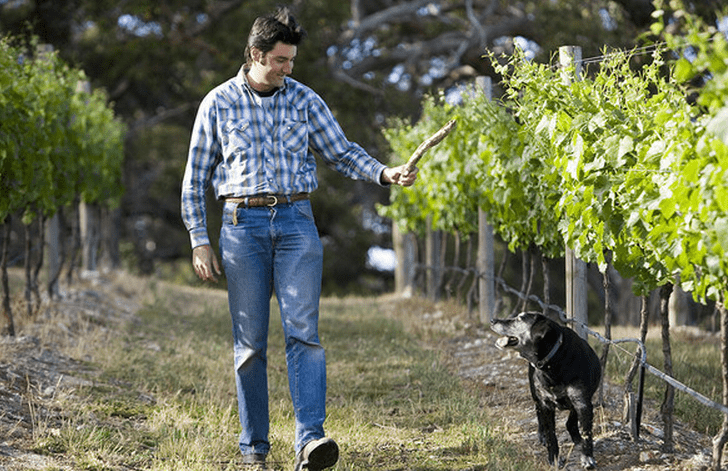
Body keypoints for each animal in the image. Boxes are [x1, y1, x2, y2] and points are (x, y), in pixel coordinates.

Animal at [490, 312, 604, 470]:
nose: (492, 320)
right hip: (536, 395)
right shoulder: (546, 404)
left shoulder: (583, 403)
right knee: (539, 415)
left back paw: (576, 437)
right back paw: (542, 435)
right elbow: (551, 435)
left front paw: (587, 458)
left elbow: (587, 433)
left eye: (519, 318)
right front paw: (554, 459)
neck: (552, 362)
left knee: (571, 421)